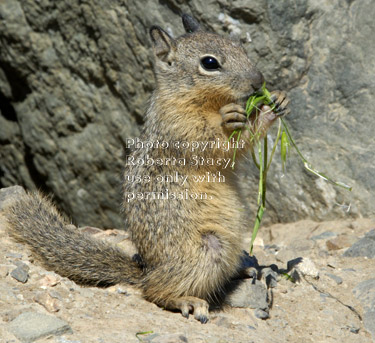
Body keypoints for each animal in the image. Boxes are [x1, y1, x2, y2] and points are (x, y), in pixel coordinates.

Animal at [3, 14, 290, 324]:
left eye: (240, 46)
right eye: (210, 63)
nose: (258, 81)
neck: (194, 100)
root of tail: (146, 270)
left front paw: (276, 99)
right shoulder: (182, 130)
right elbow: (222, 144)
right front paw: (242, 115)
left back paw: (245, 269)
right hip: (208, 249)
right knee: (153, 291)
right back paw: (186, 300)